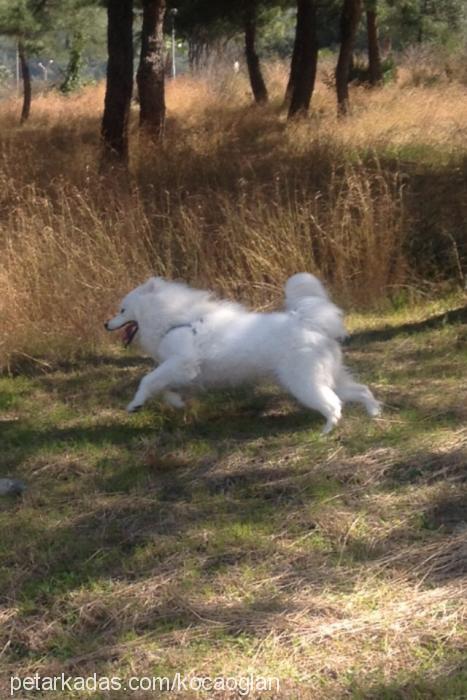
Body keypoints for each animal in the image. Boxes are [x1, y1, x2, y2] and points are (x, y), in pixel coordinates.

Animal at [105, 274, 380, 432]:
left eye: (122, 310)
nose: (105, 323)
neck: (174, 320)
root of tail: (309, 321)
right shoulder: (183, 372)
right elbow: (164, 389)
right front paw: (176, 402)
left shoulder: (181, 363)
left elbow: (147, 380)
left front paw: (135, 404)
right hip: (332, 377)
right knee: (361, 390)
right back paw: (374, 413)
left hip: (304, 382)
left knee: (333, 404)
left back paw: (326, 431)